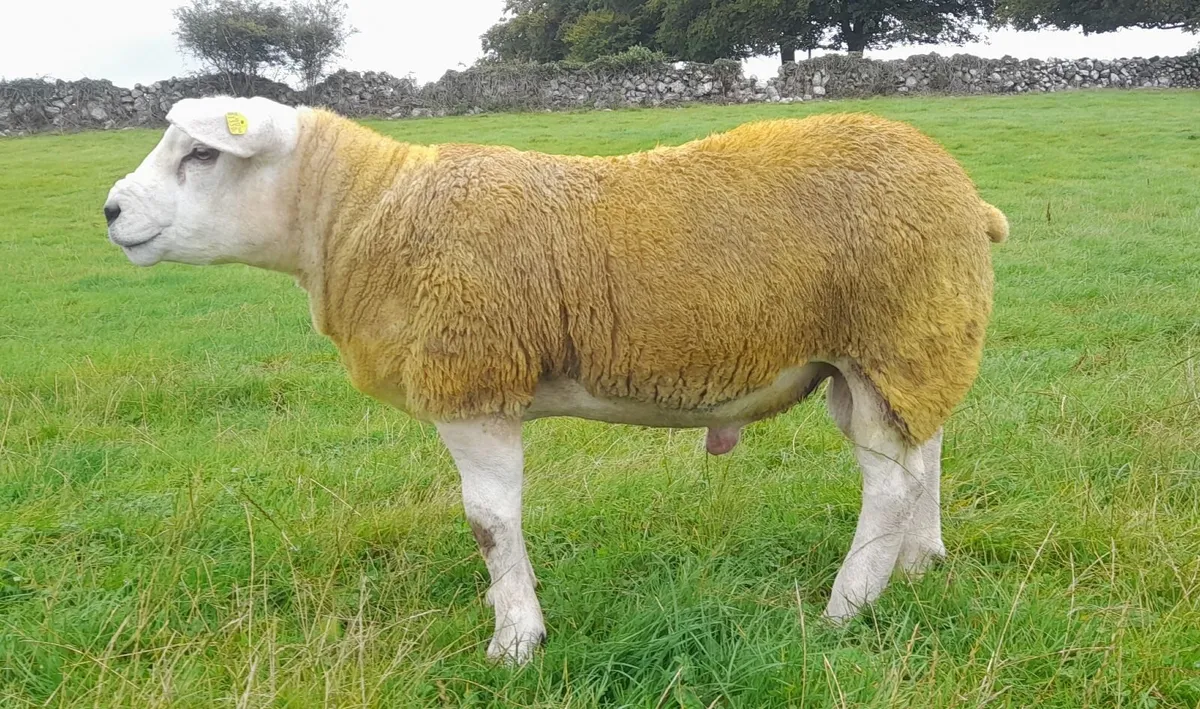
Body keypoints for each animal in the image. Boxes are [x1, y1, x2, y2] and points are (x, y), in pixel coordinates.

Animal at [104, 95, 1008, 664]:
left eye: (201, 151)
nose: (110, 211)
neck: (361, 216)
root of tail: (969, 198)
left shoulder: (474, 386)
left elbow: (489, 523)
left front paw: (515, 639)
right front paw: (509, 615)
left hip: (893, 334)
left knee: (889, 483)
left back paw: (847, 604)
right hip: (914, 345)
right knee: (926, 452)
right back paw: (919, 562)